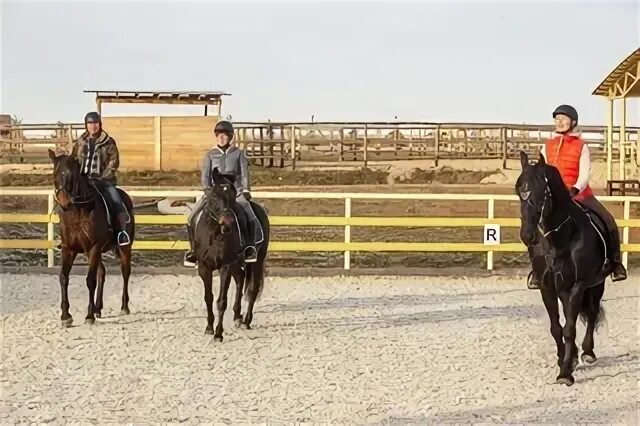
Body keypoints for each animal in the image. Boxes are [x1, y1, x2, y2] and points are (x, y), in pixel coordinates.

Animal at [47, 149, 135, 326]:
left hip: (123, 248)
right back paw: (98, 308)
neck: (77, 212)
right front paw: (66, 316)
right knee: (102, 272)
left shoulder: (93, 247)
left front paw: (89, 316)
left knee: (125, 272)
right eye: (55, 174)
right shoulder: (69, 249)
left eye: (71, 174)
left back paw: (123, 307)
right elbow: (63, 277)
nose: (64, 202)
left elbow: (90, 280)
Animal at [191, 168, 268, 342]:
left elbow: (221, 301)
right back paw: (237, 316)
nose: (227, 223)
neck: (214, 234)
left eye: (232, 195)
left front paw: (219, 333)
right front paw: (209, 328)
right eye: (214, 195)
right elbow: (208, 298)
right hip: (236, 263)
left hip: (257, 260)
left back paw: (246, 321)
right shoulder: (204, 268)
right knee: (240, 278)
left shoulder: (225, 266)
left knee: (252, 289)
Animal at [516, 151, 608, 386]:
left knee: (592, 313)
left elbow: (569, 328)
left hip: (595, 285)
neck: (559, 239)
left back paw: (587, 352)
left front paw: (566, 372)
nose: (527, 235)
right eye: (519, 191)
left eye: (542, 191)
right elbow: (557, 327)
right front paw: (564, 359)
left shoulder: (577, 286)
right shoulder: (547, 287)